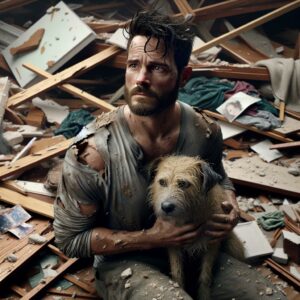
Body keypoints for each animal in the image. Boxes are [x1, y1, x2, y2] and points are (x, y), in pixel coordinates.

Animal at [149, 156, 245, 298]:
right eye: (162, 182)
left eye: (183, 183)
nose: (166, 207)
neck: (191, 215)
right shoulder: (173, 245)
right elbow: (177, 273)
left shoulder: (212, 244)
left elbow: (205, 276)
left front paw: (204, 295)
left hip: (234, 247)